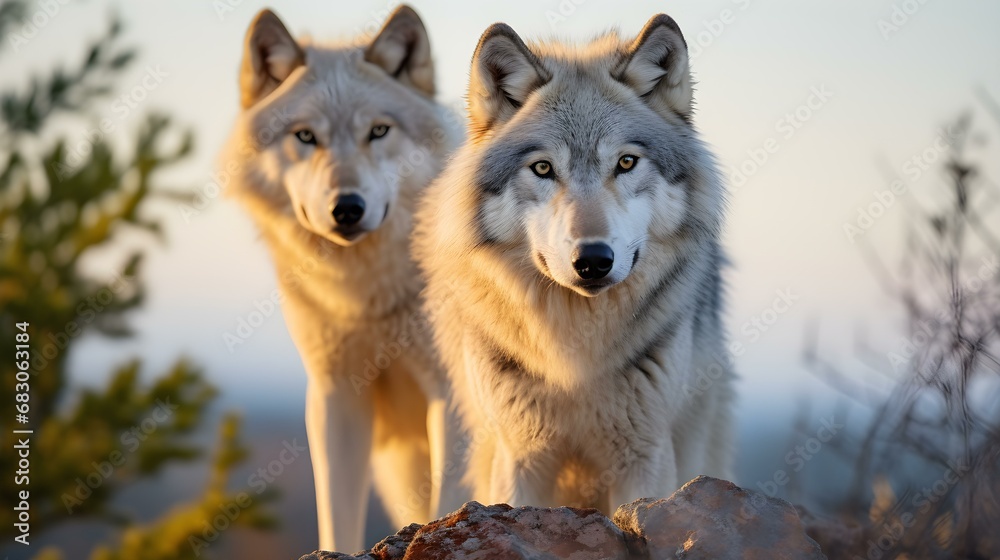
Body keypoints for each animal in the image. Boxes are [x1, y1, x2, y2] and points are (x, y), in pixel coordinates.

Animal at [222, 6, 466, 551]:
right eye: (305, 136)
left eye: (378, 131)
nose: (347, 208)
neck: (368, 299)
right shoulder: (336, 398)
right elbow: (336, 520)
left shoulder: (453, 390)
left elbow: (453, 499)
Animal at [414, 14, 735, 514]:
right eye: (543, 168)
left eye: (626, 162)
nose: (593, 260)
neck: (575, 357)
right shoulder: (520, 456)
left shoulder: (645, 456)